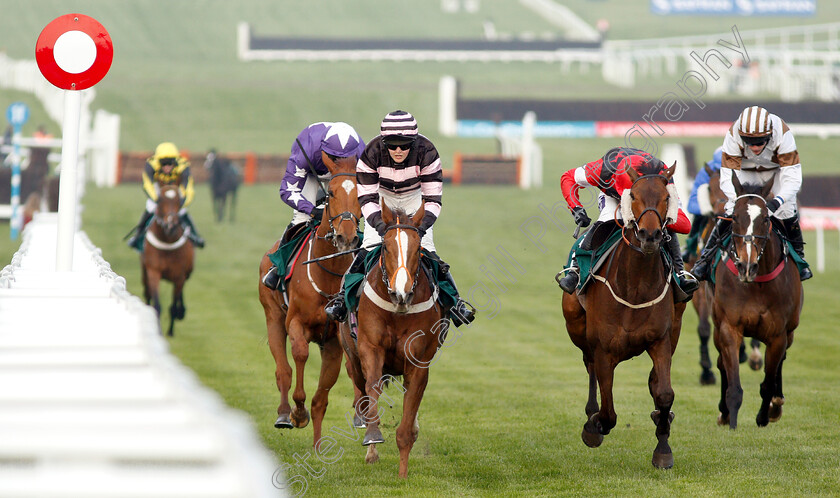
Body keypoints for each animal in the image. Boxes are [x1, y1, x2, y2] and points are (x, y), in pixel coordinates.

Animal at [144, 185, 199, 336]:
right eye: (160, 201)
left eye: (179, 202)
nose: (171, 225)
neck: (167, 242)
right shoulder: (153, 271)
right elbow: (157, 304)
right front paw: (158, 330)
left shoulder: (179, 275)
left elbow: (174, 304)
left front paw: (171, 331)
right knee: (147, 293)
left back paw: (181, 312)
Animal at [256, 155, 360, 448]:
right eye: (332, 192)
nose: (347, 236)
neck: (328, 272)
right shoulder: (296, 323)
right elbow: (300, 355)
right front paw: (298, 412)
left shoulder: (334, 340)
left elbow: (322, 396)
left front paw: (317, 446)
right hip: (273, 317)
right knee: (283, 369)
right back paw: (283, 414)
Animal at [340, 202, 450, 478]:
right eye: (386, 246)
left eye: (418, 247)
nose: (403, 292)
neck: (397, 309)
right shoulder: (370, 348)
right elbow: (372, 388)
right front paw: (372, 436)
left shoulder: (419, 362)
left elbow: (409, 416)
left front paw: (402, 474)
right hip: (351, 356)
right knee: (362, 392)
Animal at [564, 164, 688, 470]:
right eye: (633, 197)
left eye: (666, 199)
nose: (650, 236)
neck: (635, 286)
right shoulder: (604, 349)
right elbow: (608, 411)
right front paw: (594, 426)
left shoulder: (660, 340)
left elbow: (664, 392)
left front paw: (663, 448)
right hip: (576, 325)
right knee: (589, 365)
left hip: (676, 327)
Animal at [712, 175, 804, 428]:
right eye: (734, 217)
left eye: (765, 218)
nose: (746, 266)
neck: (757, 284)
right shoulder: (729, 327)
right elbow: (733, 383)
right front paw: (731, 419)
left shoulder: (778, 335)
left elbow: (768, 381)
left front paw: (764, 415)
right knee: (721, 363)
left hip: (790, 332)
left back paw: (776, 405)